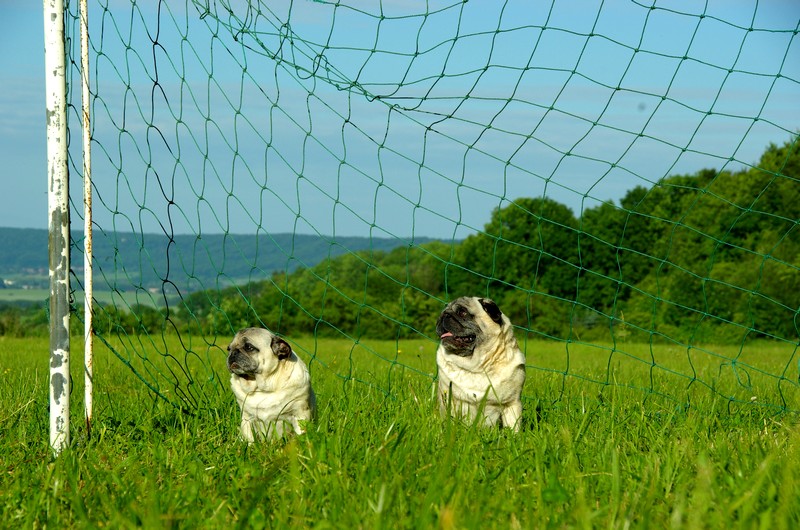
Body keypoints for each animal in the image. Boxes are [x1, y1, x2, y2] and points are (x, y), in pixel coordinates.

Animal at [438, 296, 524, 428]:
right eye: (443, 313)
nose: (445, 315)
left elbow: (513, 426)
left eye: (462, 312)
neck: (476, 366)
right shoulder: (450, 400)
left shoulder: (511, 403)